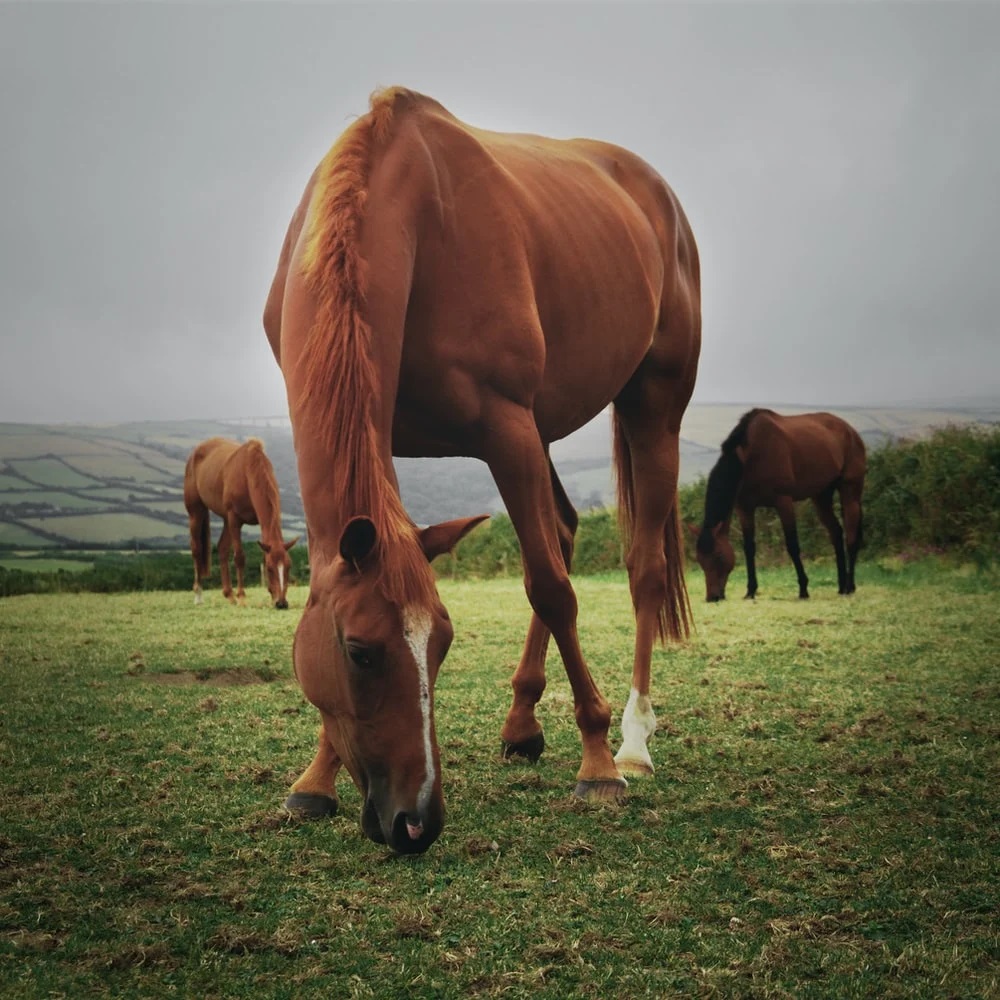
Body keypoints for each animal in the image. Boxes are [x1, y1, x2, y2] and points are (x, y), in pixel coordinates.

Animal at [184, 440, 298, 608]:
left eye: (288, 567)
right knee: (196, 549)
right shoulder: (234, 519)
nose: (281, 603)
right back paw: (199, 594)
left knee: (222, 548)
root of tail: (195, 453)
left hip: (225, 520)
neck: (248, 473)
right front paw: (242, 597)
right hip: (197, 513)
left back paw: (229, 595)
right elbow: (239, 557)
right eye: (270, 569)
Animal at [266, 86, 704, 856]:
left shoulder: (506, 427)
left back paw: (631, 741)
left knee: (640, 567)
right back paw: (522, 723)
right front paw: (314, 779)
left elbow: (552, 589)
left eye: (443, 646)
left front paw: (596, 766)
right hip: (548, 426)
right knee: (564, 528)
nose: (417, 821)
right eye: (361, 652)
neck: (409, 206)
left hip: (649, 405)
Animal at [696, 408, 868, 600]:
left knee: (851, 538)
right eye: (700, 560)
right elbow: (749, 548)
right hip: (821, 496)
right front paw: (750, 590)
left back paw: (849, 587)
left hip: (850, 492)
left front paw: (803, 589)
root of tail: (850, 430)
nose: (713, 597)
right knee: (836, 533)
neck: (752, 455)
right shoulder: (745, 508)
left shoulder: (784, 502)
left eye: (718, 555)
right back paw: (841, 586)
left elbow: (792, 545)